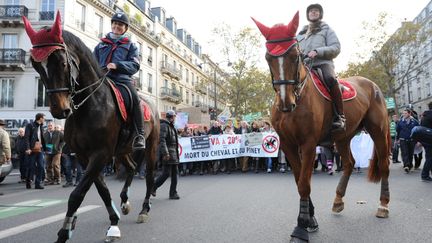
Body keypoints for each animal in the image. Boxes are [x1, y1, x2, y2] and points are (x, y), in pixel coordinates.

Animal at [22, 11, 160, 243]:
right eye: (36, 65)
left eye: (62, 62)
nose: (59, 109)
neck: (89, 105)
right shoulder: (85, 156)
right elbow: (102, 190)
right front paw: (113, 222)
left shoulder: (100, 154)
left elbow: (77, 194)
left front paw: (65, 231)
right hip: (122, 150)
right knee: (132, 167)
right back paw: (125, 201)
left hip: (150, 146)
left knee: (149, 175)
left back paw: (145, 209)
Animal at [253, 11, 392, 243]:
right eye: (268, 57)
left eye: (295, 55)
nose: (285, 103)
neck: (299, 97)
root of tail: (372, 84)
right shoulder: (289, 145)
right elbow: (299, 180)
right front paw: (310, 219)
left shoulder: (308, 144)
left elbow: (304, 183)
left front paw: (301, 226)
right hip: (343, 137)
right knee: (349, 163)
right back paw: (338, 201)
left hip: (378, 131)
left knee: (383, 165)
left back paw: (383, 205)